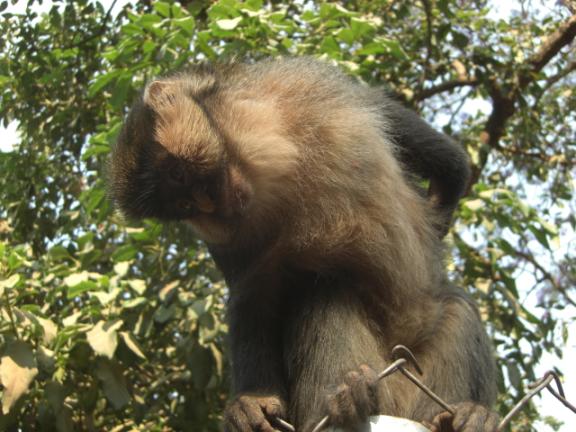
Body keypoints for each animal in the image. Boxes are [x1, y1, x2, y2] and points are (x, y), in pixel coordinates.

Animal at [110, 57, 498, 432]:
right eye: (182, 205)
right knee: (325, 288)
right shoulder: (231, 236)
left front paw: (439, 213)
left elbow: (425, 146)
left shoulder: (302, 89)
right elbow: (253, 295)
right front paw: (251, 400)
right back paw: (351, 396)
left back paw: (454, 418)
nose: (208, 207)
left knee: (456, 306)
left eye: (179, 175)